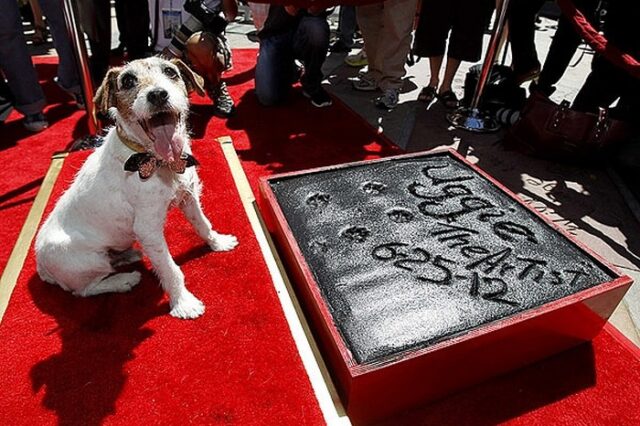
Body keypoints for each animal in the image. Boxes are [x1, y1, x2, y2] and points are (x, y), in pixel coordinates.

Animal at [33, 56, 238, 318]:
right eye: (128, 80)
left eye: (171, 72)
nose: (158, 94)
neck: (155, 160)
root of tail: (41, 266)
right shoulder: (148, 229)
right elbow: (170, 269)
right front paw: (183, 302)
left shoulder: (188, 197)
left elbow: (203, 224)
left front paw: (218, 243)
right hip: (90, 262)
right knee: (85, 290)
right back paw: (124, 280)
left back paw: (126, 256)